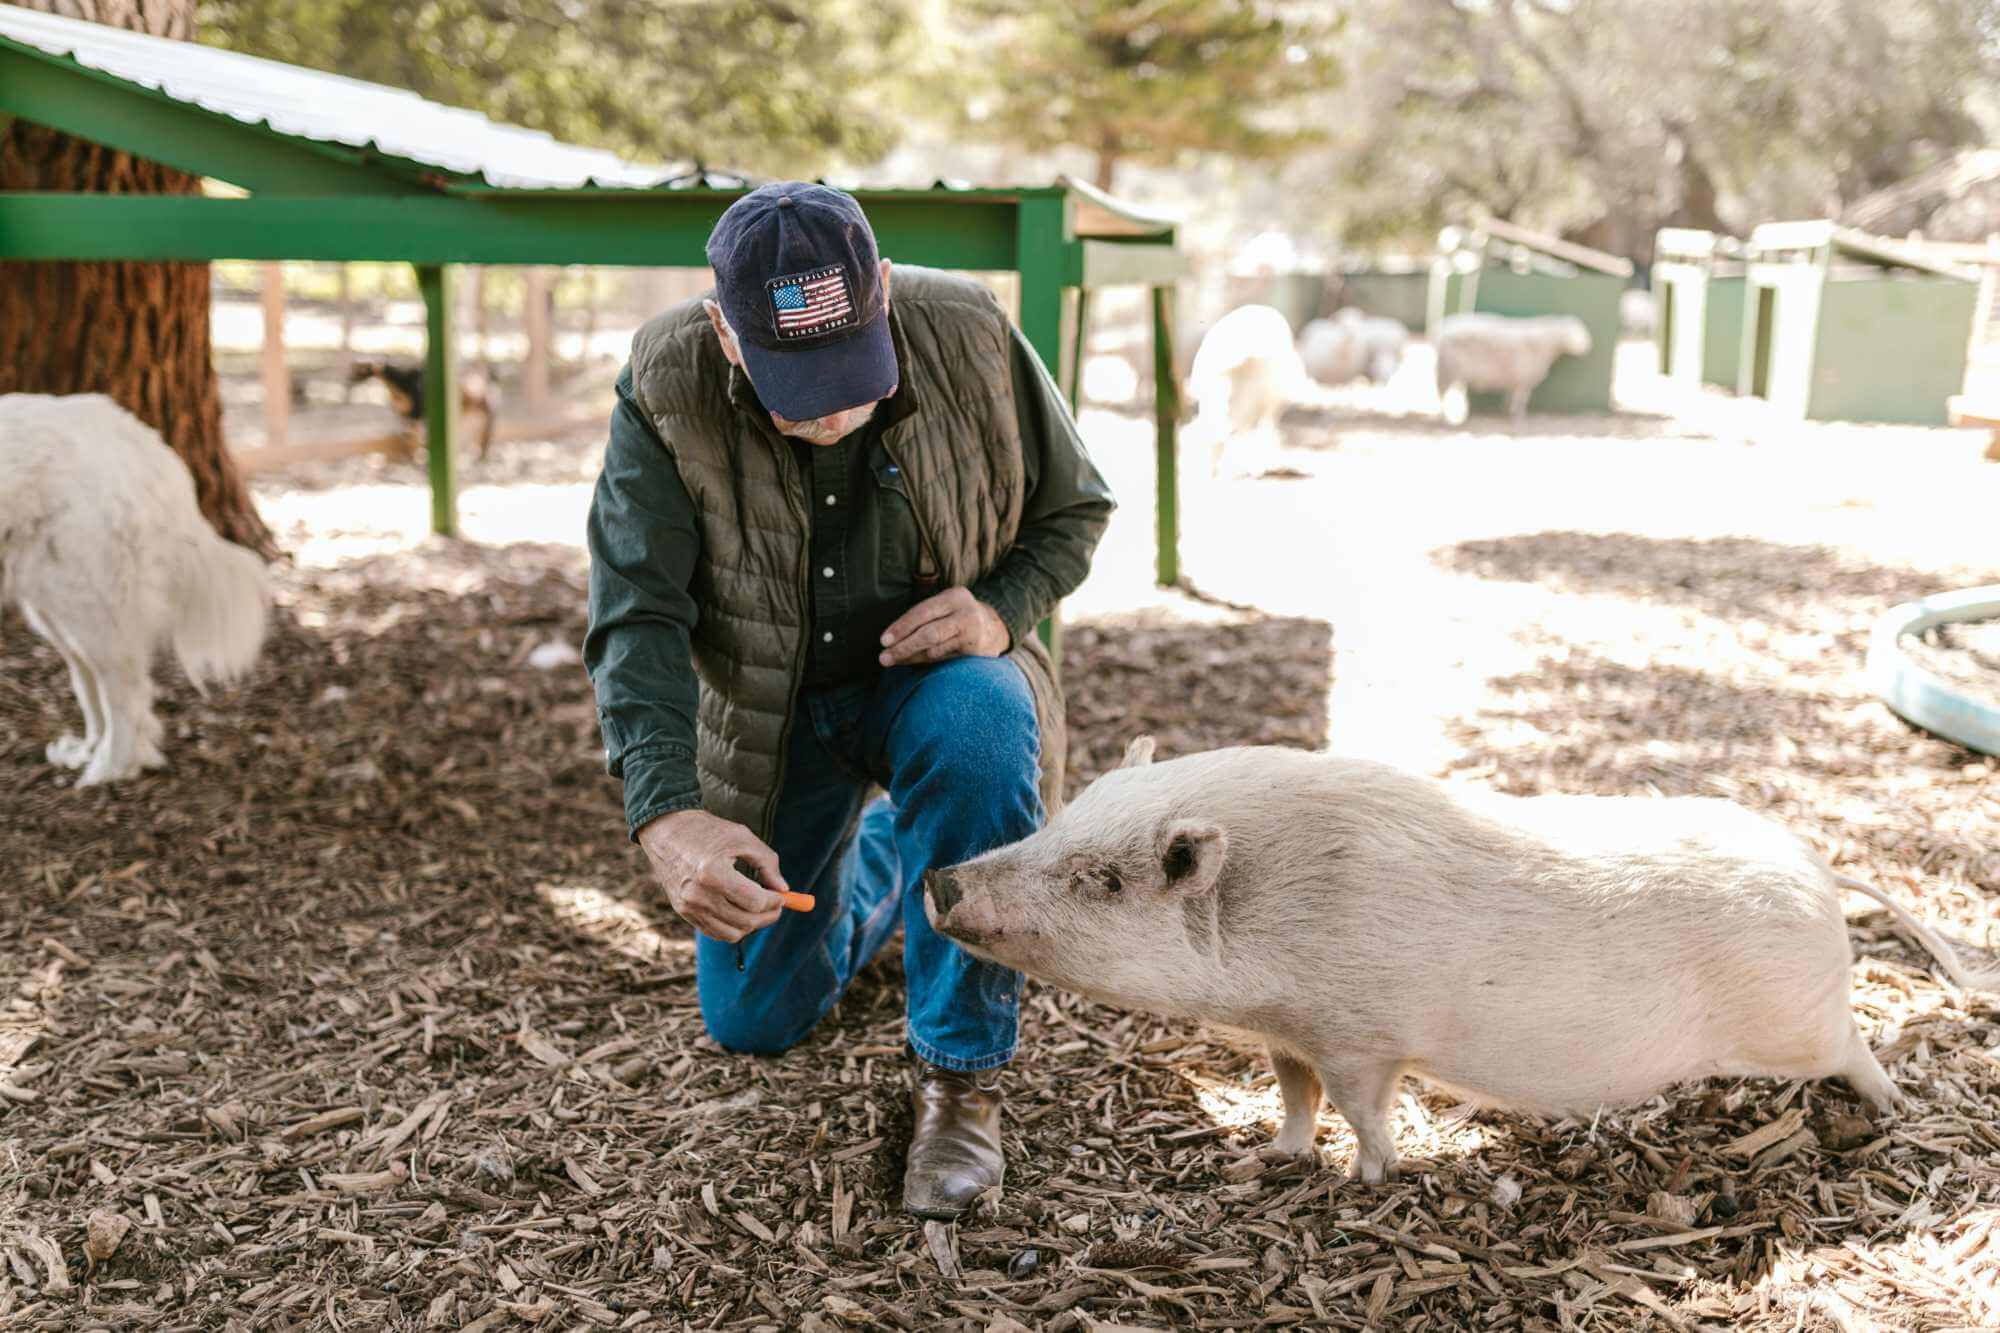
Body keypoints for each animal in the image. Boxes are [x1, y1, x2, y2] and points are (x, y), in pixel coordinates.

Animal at [0, 390, 270, 784]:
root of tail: (140, 440)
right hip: (59, 610)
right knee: (91, 686)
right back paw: (89, 752)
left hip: (89, 607)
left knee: (124, 693)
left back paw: (110, 769)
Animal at [920, 740, 1984, 1176]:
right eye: (1063, 816)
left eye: (1101, 878)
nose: (939, 880)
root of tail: (1821, 868)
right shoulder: (1290, 1033)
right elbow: (1295, 1096)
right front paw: (1268, 1157)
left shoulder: (1363, 1036)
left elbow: (1363, 1108)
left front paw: (1372, 1179)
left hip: (1802, 1018)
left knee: (1857, 1046)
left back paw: (1894, 1108)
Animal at [1432, 312, 1584, 420]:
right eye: (1577, 332)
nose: (1586, 346)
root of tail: (1441, 331)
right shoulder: (1524, 380)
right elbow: (1520, 400)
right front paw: (1518, 416)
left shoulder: (1515, 380)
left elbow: (1510, 396)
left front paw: (1506, 410)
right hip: (1447, 370)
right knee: (1441, 393)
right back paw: (1442, 416)